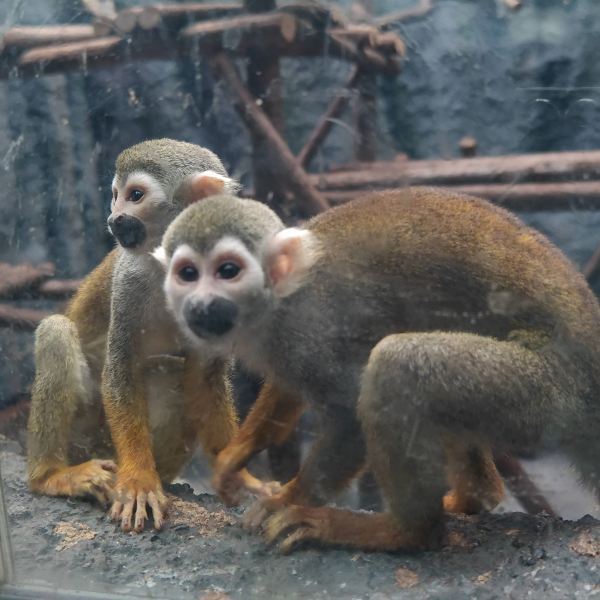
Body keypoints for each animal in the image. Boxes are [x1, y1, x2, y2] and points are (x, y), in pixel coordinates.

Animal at [27, 139, 255, 528]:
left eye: (135, 195)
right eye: (115, 196)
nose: (113, 218)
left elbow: (205, 380)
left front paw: (239, 478)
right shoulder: (128, 280)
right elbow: (121, 369)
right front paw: (138, 480)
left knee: (174, 370)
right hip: (86, 436)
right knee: (57, 331)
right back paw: (51, 475)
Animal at [156, 191, 600, 552]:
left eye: (227, 271)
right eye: (188, 274)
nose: (200, 304)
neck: (276, 301)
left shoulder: (312, 325)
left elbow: (348, 418)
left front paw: (283, 501)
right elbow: (287, 390)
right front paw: (238, 455)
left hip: (546, 396)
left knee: (395, 365)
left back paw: (403, 532)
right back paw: (475, 496)